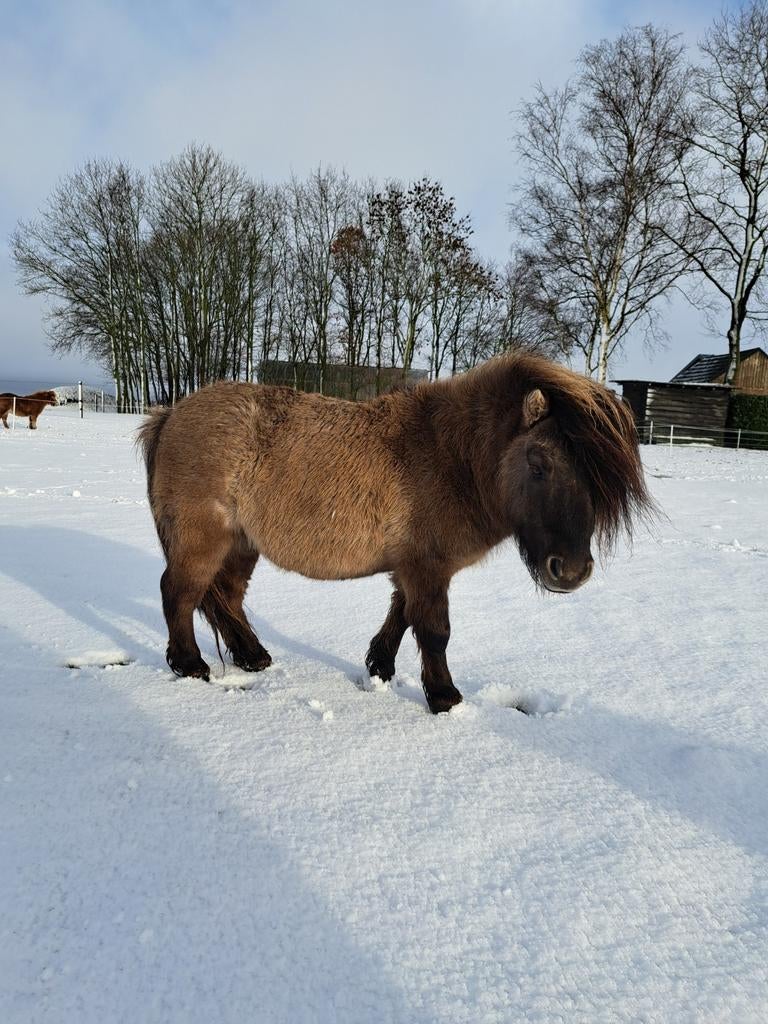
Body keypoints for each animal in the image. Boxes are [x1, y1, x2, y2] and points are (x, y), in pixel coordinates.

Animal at [138, 353, 652, 714]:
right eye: (539, 463)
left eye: (599, 477)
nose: (570, 571)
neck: (452, 458)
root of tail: (170, 415)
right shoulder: (428, 568)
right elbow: (434, 630)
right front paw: (444, 697)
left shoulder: (414, 566)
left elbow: (402, 615)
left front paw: (379, 667)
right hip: (204, 539)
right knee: (179, 592)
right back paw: (191, 665)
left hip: (242, 544)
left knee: (224, 595)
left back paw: (253, 656)